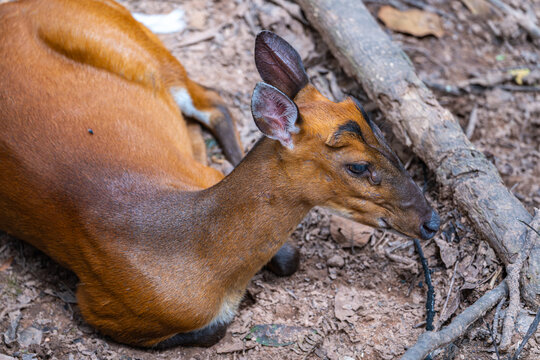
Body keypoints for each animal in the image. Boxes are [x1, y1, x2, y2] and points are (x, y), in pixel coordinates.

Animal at [0, 0, 438, 350]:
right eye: (358, 166)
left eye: (382, 132)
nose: (432, 221)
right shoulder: (97, 307)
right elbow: (215, 328)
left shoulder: (200, 173)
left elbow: (288, 256)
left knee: (213, 99)